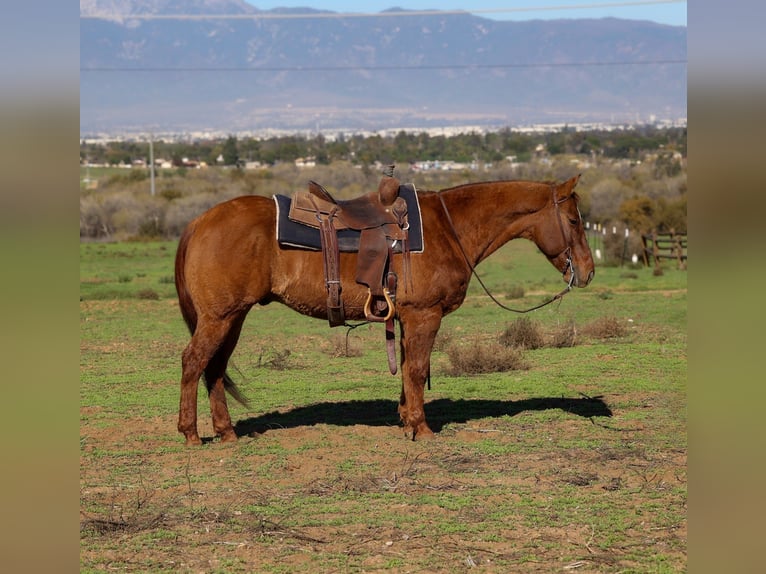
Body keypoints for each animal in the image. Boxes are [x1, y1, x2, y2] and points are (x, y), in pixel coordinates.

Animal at [174, 174, 595, 445]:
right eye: (574, 220)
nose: (588, 271)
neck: (450, 229)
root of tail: (198, 222)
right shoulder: (425, 316)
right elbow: (419, 369)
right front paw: (422, 429)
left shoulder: (407, 318)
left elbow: (407, 370)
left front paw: (407, 421)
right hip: (219, 318)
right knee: (194, 362)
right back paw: (191, 433)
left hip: (233, 318)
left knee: (215, 367)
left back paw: (227, 432)